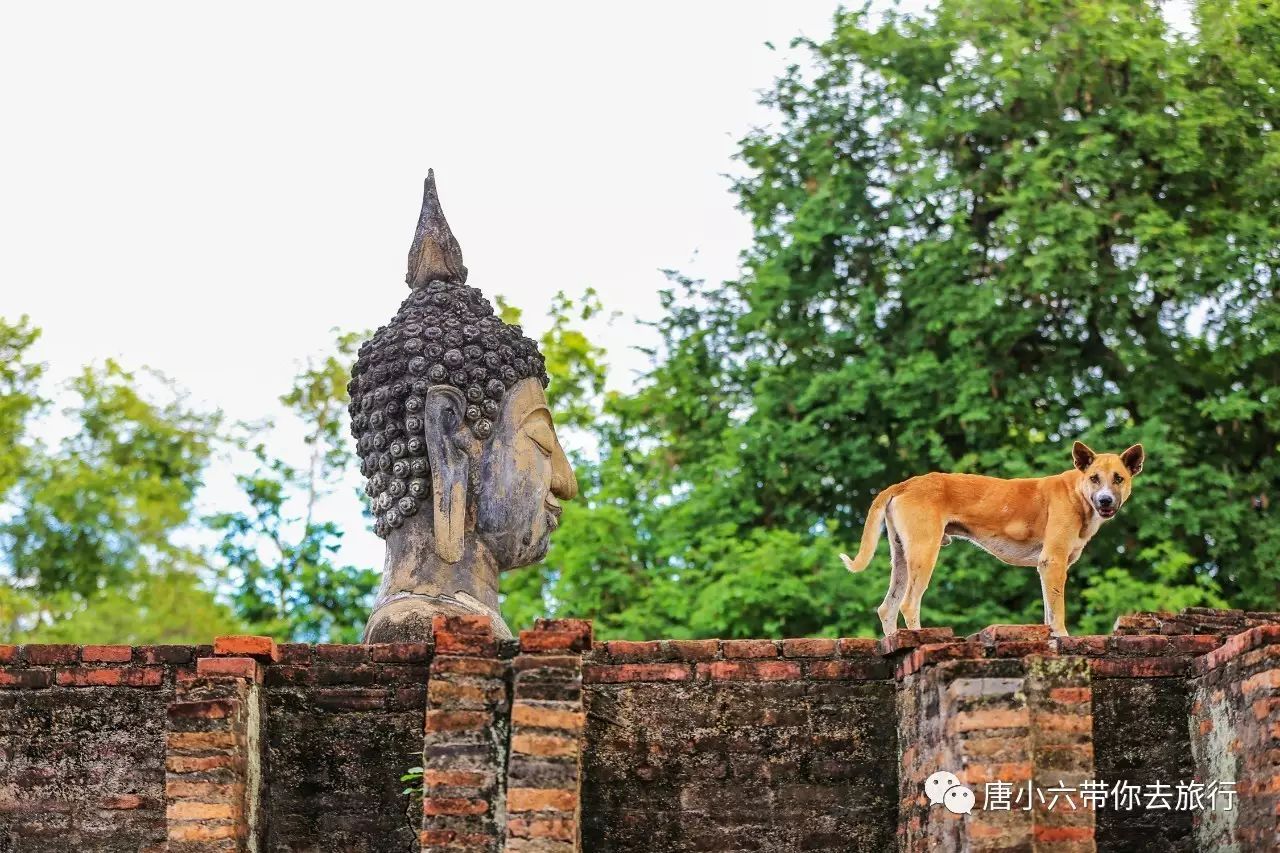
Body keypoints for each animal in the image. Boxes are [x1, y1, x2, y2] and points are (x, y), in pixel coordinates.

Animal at [839, 440, 1152, 635]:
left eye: (1118, 478)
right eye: (1095, 478)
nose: (1105, 501)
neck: (1077, 494)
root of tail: (903, 484)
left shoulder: (1045, 568)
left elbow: (1048, 612)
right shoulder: (1053, 561)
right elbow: (1057, 612)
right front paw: (1062, 637)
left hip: (902, 557)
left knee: (887, 608)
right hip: (924, 553)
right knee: (908, 604)